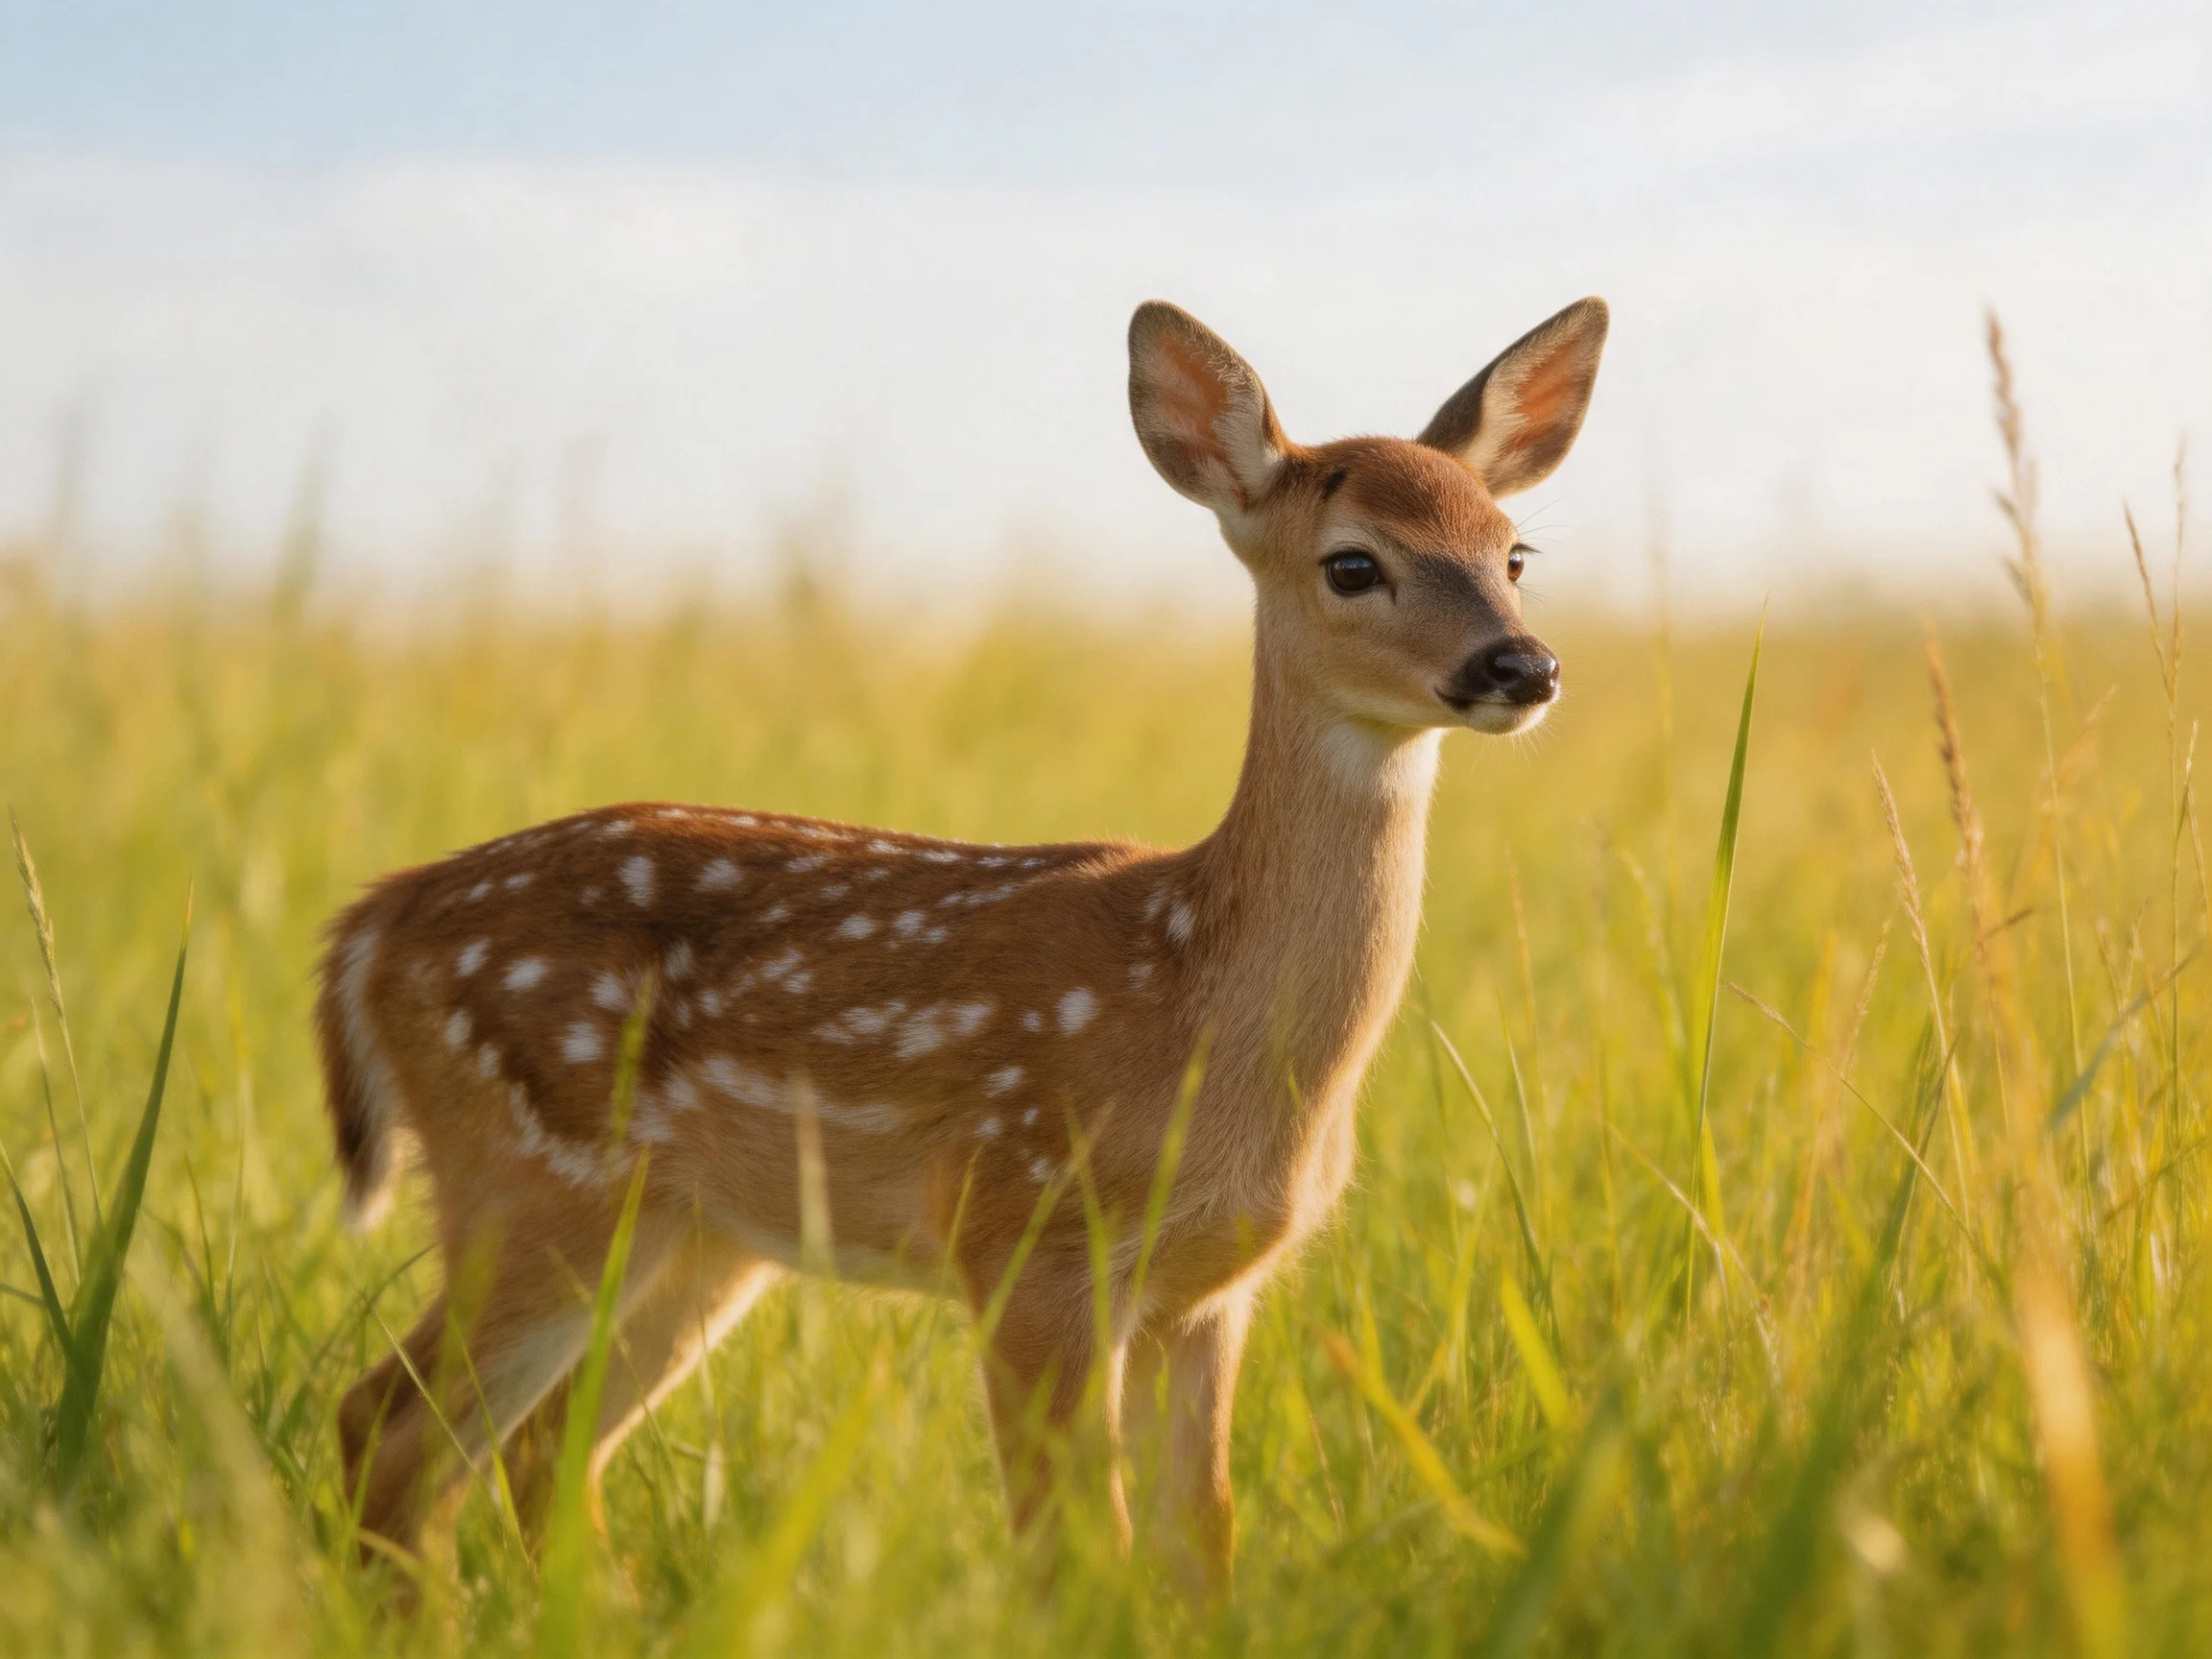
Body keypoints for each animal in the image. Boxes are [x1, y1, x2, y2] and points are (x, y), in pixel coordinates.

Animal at [321, 293, 1609, 1595]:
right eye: (1353, 563)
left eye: (1514, 554)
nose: (1522, 665)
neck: (1199, 1004)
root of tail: (377, 918)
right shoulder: (1024, 1236)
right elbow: (1072, 1552)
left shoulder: (1208, 1291)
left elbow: (1203, 1549)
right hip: (533, 1180)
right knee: (388, 1424)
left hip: (698, 1240)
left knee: (540, 1449)